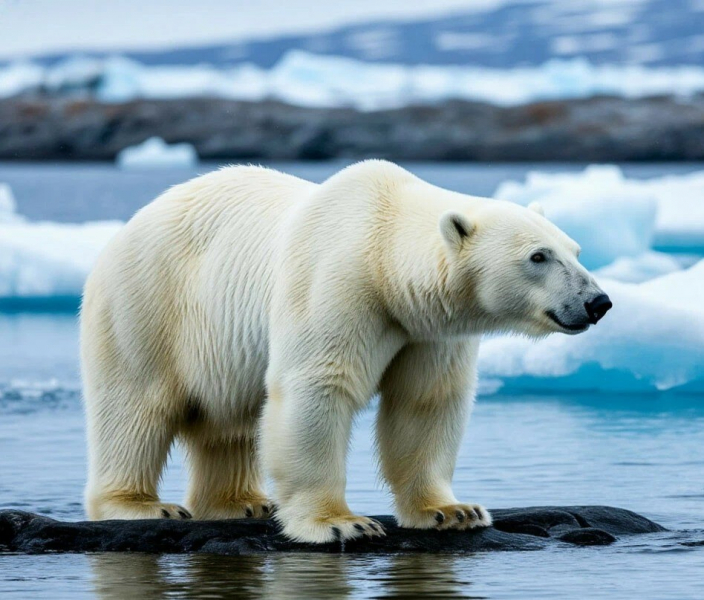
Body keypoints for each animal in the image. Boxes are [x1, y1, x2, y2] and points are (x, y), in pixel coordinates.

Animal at [81, 160, 611, 543]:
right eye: (538, 256)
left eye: (576, 250)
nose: (598, 302)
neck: (382, 251)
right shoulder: (337, 284)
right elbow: (318, 388)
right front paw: (340, 523)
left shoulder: (428, 330)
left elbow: (426, 402)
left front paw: (454, 511)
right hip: (148, 304)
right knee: (134, 406)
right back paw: (142, 504)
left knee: (228, 423)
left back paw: (242, 501)